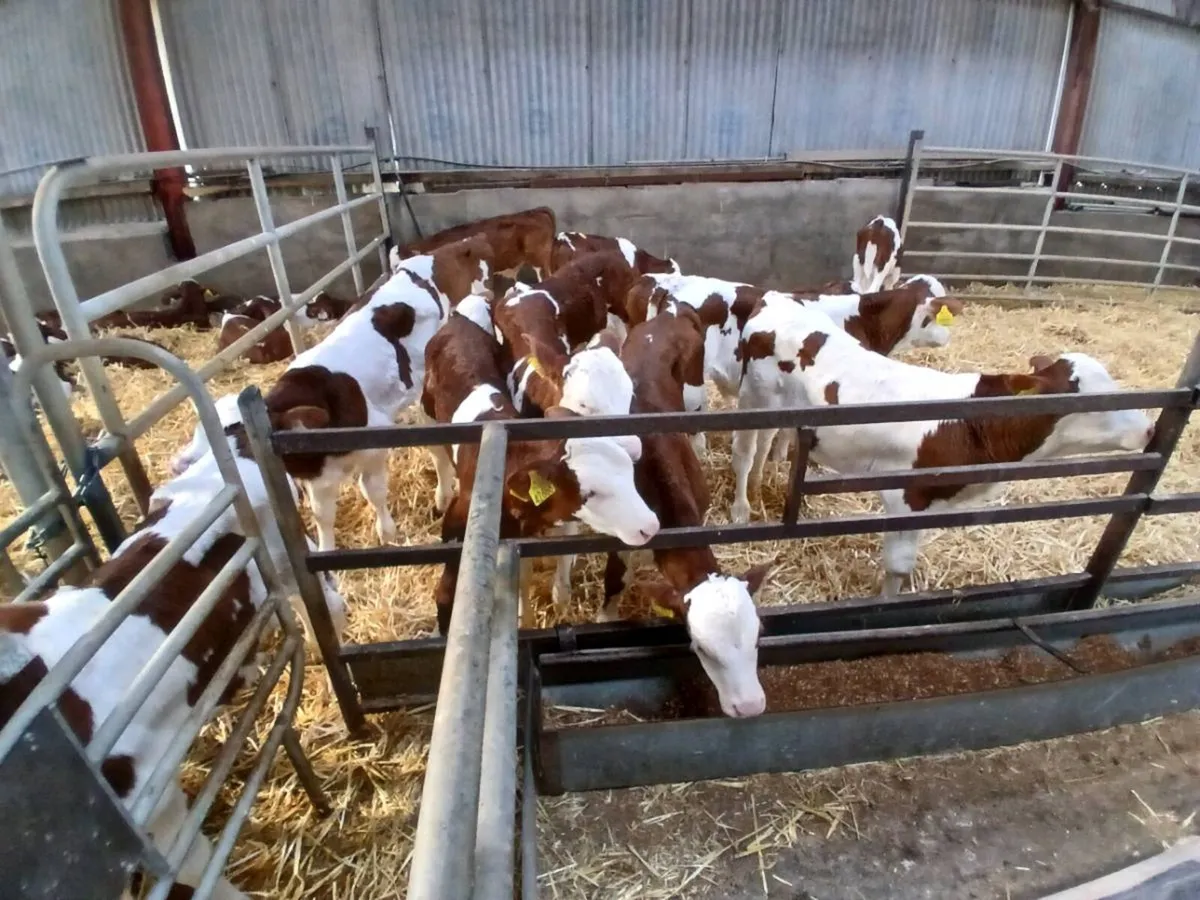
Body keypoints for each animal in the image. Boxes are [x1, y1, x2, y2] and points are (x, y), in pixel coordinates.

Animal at [733, 301, 1154, 592]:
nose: (1150, 428)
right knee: (745, 452)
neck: (970, 424)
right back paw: (742, 508)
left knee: (769, 443)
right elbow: (898, 567)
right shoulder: (905, 497)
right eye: (1096, 403)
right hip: (755, 398)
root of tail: (775, 299)